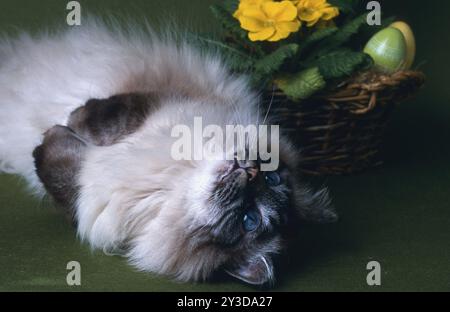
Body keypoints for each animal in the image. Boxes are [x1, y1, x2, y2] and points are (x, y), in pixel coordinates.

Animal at [0, 19, 338, 286]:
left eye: (249, 219)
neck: (180, 175)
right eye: (272, 179)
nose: (252, 171)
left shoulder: (90, 200)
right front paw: (73, 121)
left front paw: (54, 132)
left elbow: (58, 166)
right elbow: (107, 119)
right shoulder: (161, 103)